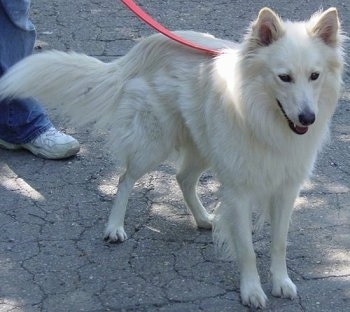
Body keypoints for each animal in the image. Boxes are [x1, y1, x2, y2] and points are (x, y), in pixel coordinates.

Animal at [0, 7, 344, 308]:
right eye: (284, 77)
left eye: (314, 76)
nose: (308, 118)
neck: (261, 117)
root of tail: (146, 49)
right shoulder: (239, 192)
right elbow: (246, 249)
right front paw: (252, 290)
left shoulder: (286, 190)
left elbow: (279, 243)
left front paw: (281, 282)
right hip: (153, 145)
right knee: (125, 179)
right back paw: (114, 227)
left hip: (202, 147)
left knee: (183, 178)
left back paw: (203, 218)